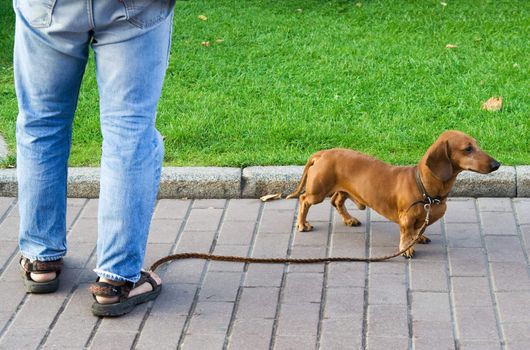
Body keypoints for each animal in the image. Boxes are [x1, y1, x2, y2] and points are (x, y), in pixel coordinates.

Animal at [286, 131, 498, 258]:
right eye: (468, 149)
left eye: (477, 145)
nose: (497, 164)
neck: (424, 187)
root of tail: (322, 153)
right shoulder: (406, 218)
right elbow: (406, 234)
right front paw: (407, 248)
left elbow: (418, 230)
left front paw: (419, 237)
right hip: (317, 192)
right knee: (304, 200)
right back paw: (302, 224)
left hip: (344, 190)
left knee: (337, 201)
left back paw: (349, 220)